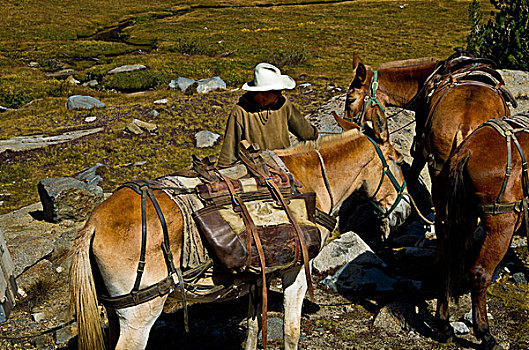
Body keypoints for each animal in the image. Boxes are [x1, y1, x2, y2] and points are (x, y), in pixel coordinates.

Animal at [69, 116, 408, 348]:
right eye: (399, 160)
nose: (403, 211)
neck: (308, 181)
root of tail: (94, 222)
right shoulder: (297, 271)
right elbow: (291, 331)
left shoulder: (260, 274)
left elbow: (255, 327)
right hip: (139, 314)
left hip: (116, 312)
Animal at [434, 113, 528, 350]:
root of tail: (465, 153)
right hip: (502, 224)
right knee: (479, 273)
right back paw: (485, 334)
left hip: (461, 218)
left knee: (445, 263)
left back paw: (444, 326)